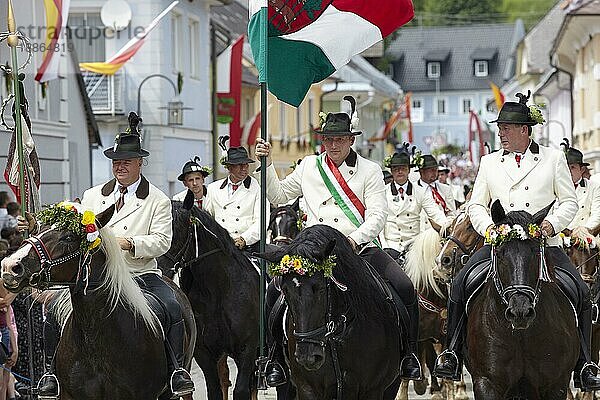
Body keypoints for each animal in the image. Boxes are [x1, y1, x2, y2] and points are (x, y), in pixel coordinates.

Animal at [157, 198, 260, 400]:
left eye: (177, 229)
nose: (159, 267)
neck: (218, 291)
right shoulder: (204, 353)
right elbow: (215, 390)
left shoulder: (248, 348)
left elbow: (242, 390)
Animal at [262, 227, 404, 398]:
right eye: (285, 290)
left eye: (320, 288)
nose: (308, 357)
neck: (337, 334)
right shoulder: (307, 387)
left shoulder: (372, 389)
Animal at [466, 203, 580, 400]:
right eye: (500, 253)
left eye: (536, 252)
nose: (520, 312)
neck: (521, 336)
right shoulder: (486, 382)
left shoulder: (556, 385)